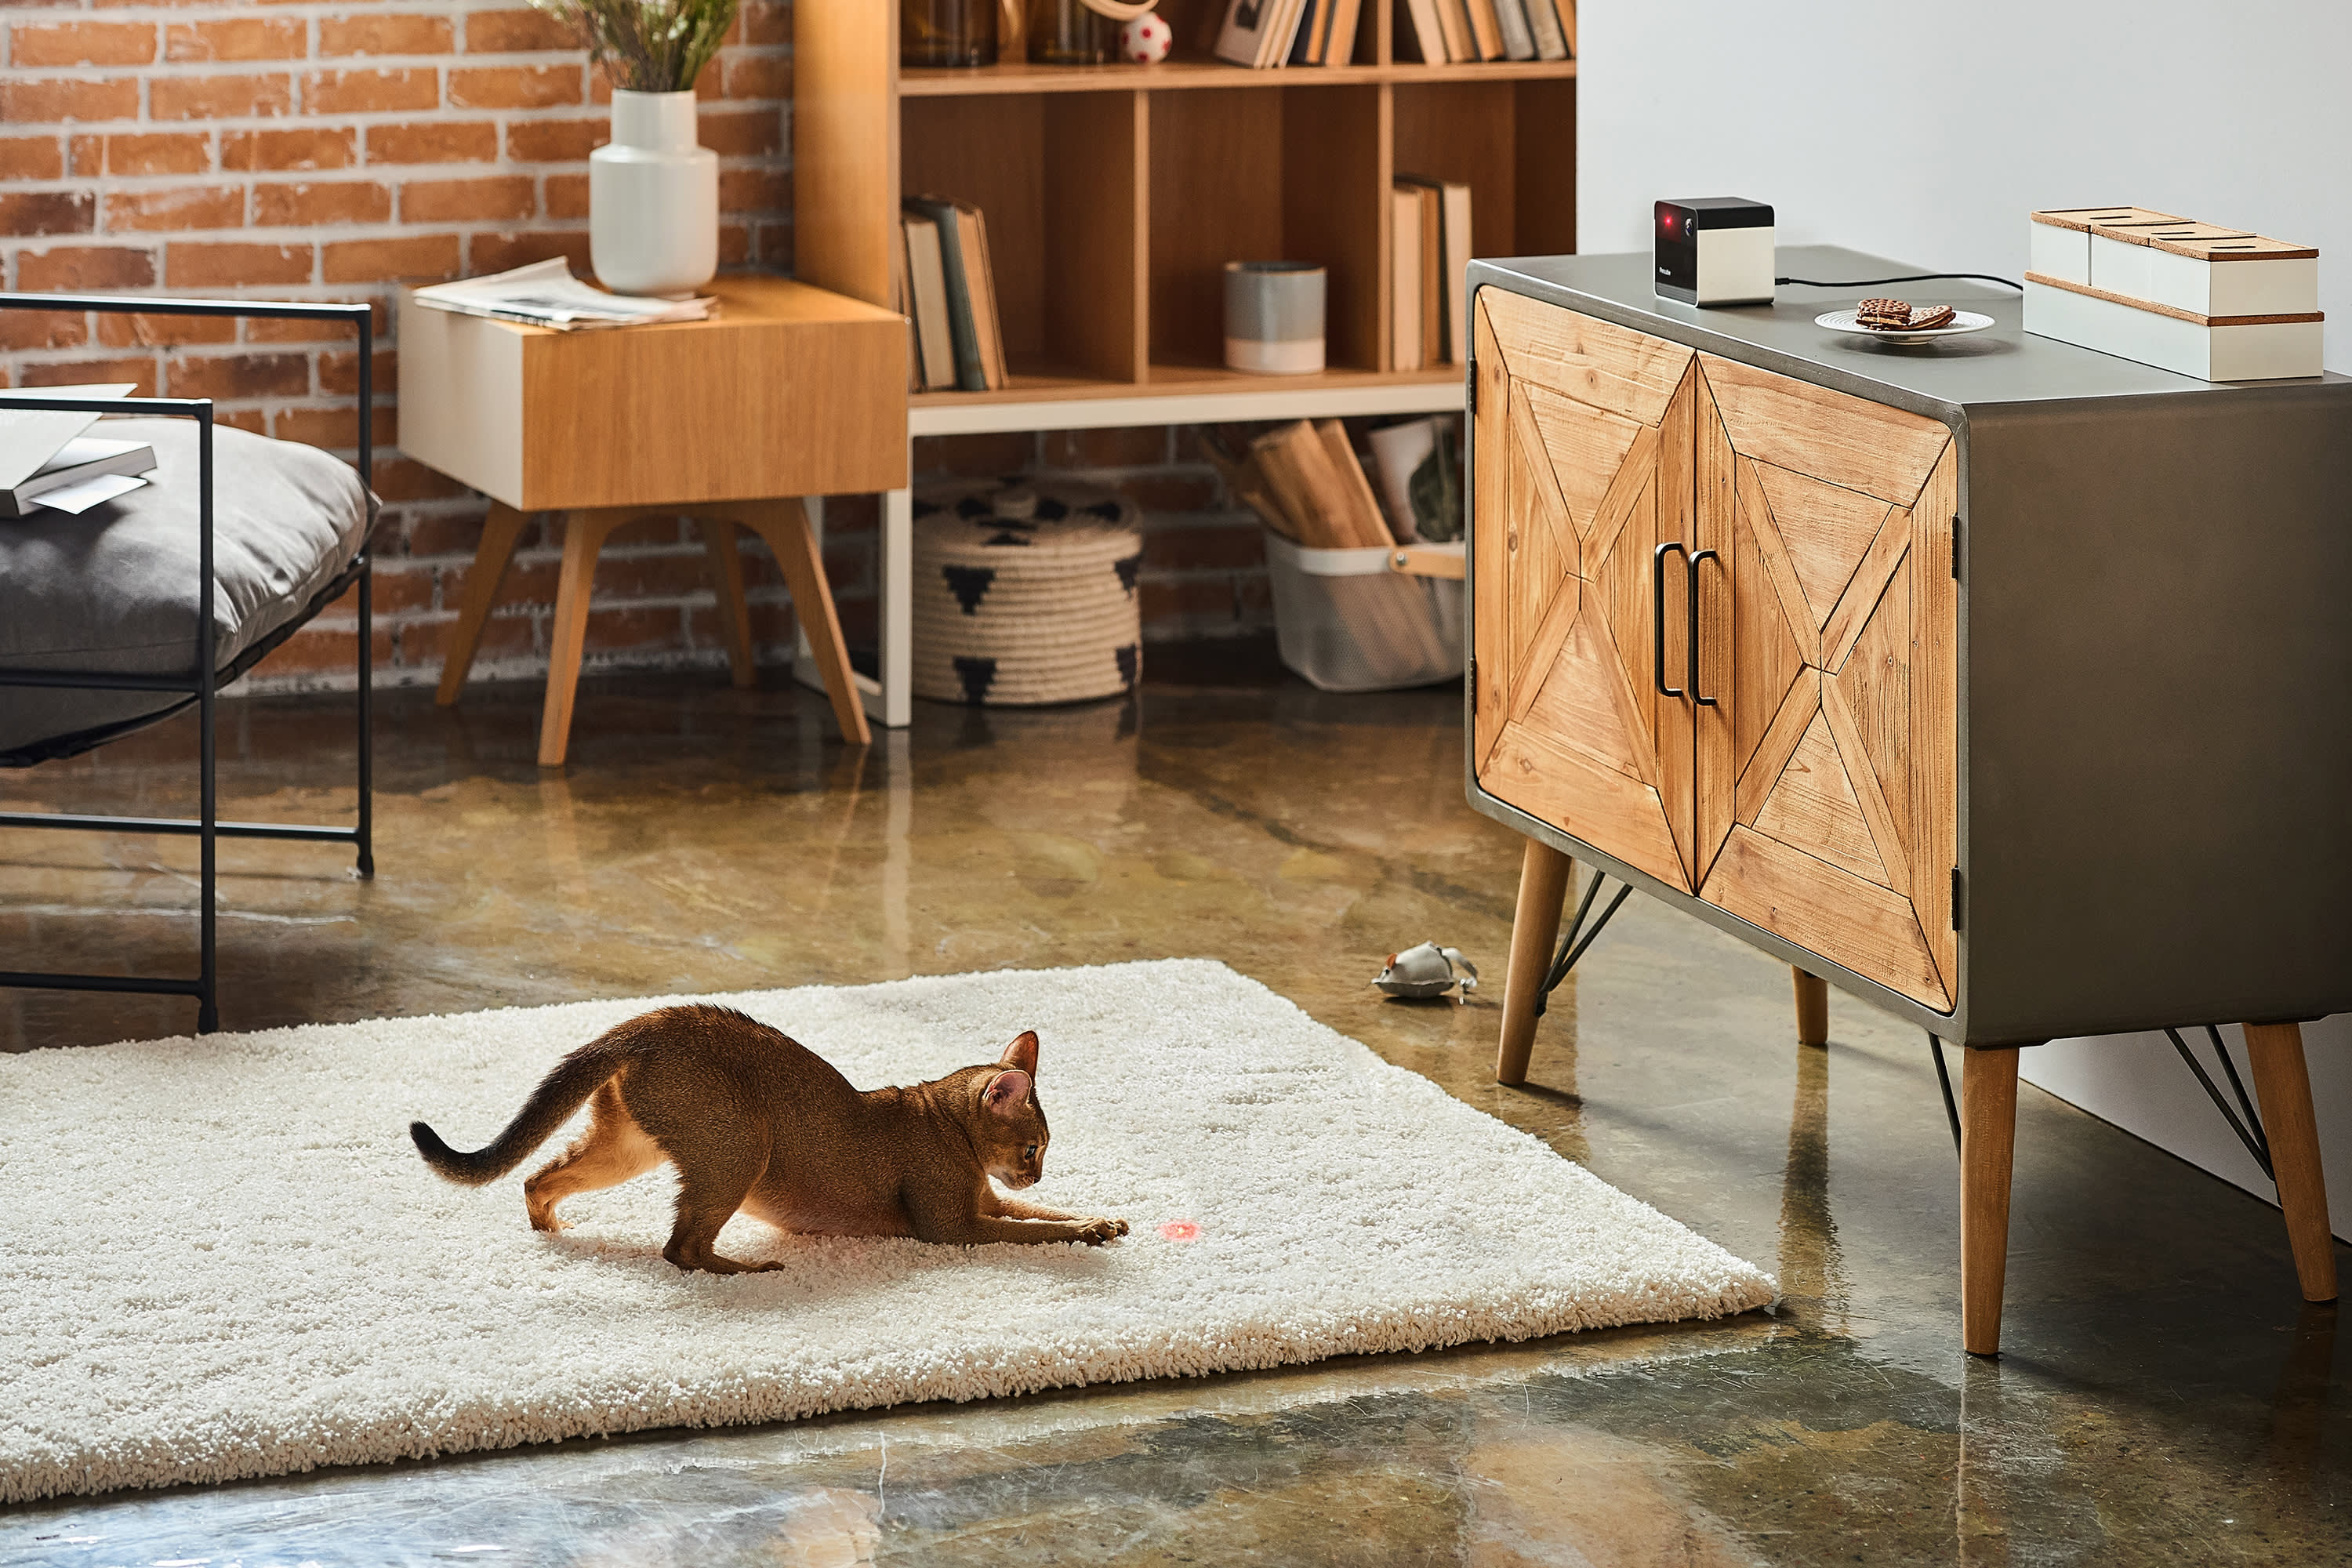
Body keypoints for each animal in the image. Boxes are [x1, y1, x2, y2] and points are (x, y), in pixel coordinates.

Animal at [412, 1006, 1129, 1279]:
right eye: (1034, 1149)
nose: (1035, 1172)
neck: (944, 1124)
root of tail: (647, 1020)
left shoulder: (988, 1201)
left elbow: (1044, 1214)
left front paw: (1101, 1219)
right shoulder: (951, 1226)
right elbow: (1032, 1231)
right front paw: (1083, 1232)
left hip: (629, 1149)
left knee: (537, 1179)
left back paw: (551, 1233)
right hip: (740, 1146)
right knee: (681, 1249)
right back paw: (748, 1271)